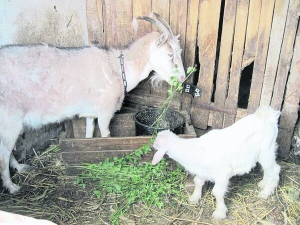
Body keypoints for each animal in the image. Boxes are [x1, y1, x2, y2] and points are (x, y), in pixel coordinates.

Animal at [0, 11, 185, 193]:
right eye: (170, 55)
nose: (183, 78)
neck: (118, 69)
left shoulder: (91, 112)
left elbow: (89, 134)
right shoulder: (105, 111)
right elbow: (105, 136)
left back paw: (21, 168)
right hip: (10, 118)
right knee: (3, 154)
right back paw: (12, 186)